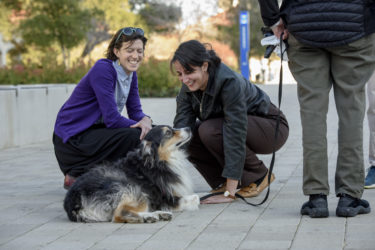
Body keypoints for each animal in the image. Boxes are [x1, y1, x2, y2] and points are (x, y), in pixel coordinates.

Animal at [64, 125, 200, 223]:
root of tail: (74, 202)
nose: (188, 128)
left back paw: (157, 215)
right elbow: (195, 198)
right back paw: (149, 217)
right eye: (168, 133)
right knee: (118, 215)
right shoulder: (165, 198)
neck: (157, 161)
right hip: (130, 188)